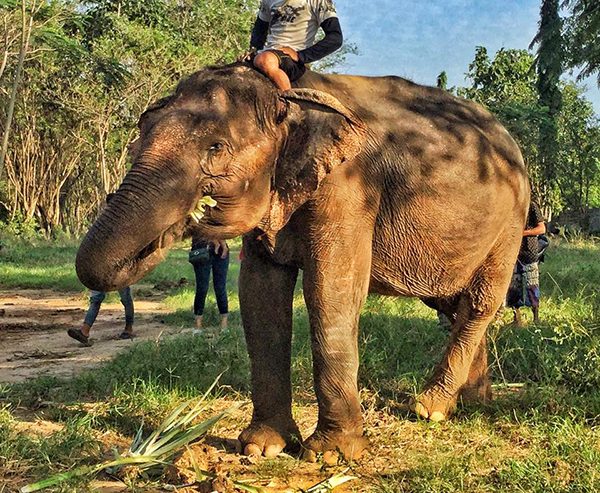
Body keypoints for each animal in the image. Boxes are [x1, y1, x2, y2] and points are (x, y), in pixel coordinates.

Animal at [76, 62, 528, 462]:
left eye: (215, 147)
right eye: (140, 136)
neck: (291, 97)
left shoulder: (348, 186)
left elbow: (331, 290)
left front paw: (331, 456)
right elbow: (260, 296)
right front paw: (262, 448)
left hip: (511, 225)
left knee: (479, 303)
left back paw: (430, 408)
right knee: (451, 303)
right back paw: (469, 403)